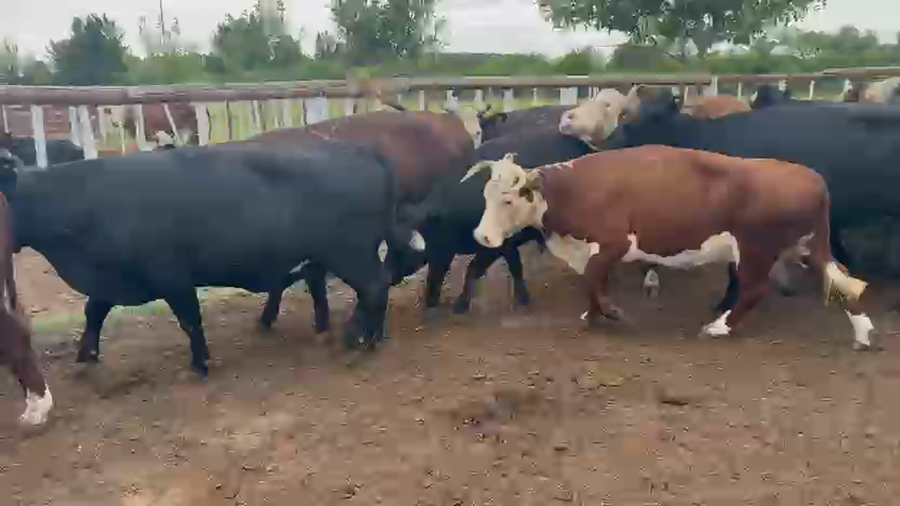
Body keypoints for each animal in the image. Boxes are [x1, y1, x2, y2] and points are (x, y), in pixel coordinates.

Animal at [8, 141, 424, 376]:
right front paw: (86, 355)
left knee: (374, 287)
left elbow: (190, 320)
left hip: (348, 251)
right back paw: (368, 335)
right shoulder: (112, 277)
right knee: (375, 287)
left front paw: (201, 362)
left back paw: (361, 340)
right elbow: (93, 311)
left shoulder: (172, 276)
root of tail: (360, 150)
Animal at [384, 124, 593, 317]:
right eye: (388, 242)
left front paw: (463, 304)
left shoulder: (497, 246)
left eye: (404, 248)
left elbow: (478, 270)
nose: (387, 274)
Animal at [462, 147, 875, 350]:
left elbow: (594, 278)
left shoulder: (615, 243)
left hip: (755, 250)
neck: (574, 189)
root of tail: (811, 178)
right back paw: (863, 332)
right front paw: (593, 315)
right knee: (844, 280)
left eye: (508, 199)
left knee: (755, 290)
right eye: (485, 195)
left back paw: (719, 327)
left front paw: (611, 314)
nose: (481, 237)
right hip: (807, 245)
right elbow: (594, 282)